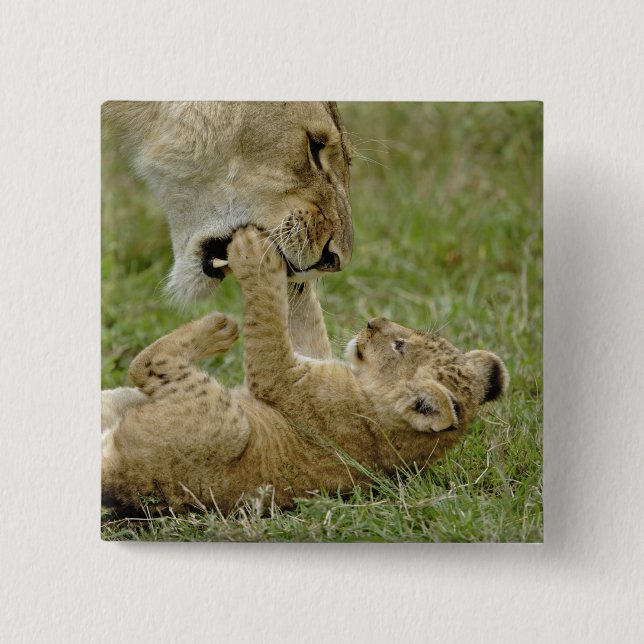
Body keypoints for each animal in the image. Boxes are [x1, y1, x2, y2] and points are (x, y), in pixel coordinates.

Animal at [102, 227, 508, 517]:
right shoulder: (313, 358)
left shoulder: (284, 378)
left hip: (227, 426)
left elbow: (268, 324)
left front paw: (255, 254)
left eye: (399, 346)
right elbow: (305, 321)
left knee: (146, 364)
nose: (373, 323)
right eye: (410, 337)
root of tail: (119, 482)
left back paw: (219, 328)